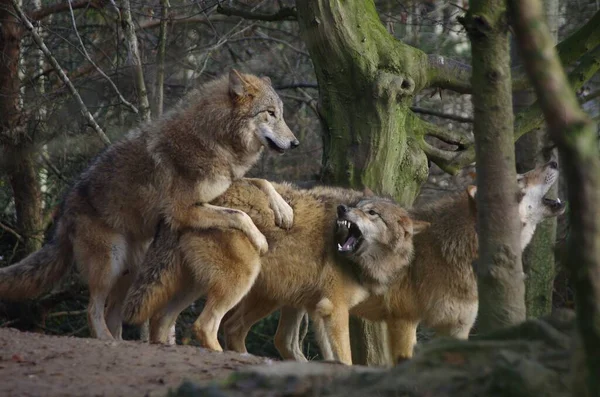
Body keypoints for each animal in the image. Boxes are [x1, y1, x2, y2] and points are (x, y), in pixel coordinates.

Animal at [0, 69, 300, 338]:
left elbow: (262, 181)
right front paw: (260, 240)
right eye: (270, 113)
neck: (215, 137)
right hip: (110, 262)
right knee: (93, 310)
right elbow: (240, 214)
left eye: (281, 113)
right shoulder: (183, 212)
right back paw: (108, 341)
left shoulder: (224, 187)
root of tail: (65, 208)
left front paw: (284, 210)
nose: (295, 143)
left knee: (113, 313)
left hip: (132, 268)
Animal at [120, 181, 426, 364]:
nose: (342, 209)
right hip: (242, 285)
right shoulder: (334, 308)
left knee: (165, 319)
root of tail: (181, 209)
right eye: (357, 209)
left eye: (372, 213)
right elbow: (344, 356)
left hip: (209, 289)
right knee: (206, 325)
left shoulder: (314, 307)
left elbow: (320, 351)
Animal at [262, 160, 568, 362]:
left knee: (283, 341)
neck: (451, 250)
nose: (553, 160)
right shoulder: (403, 321)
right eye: (519, 179)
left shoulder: (458, 328)